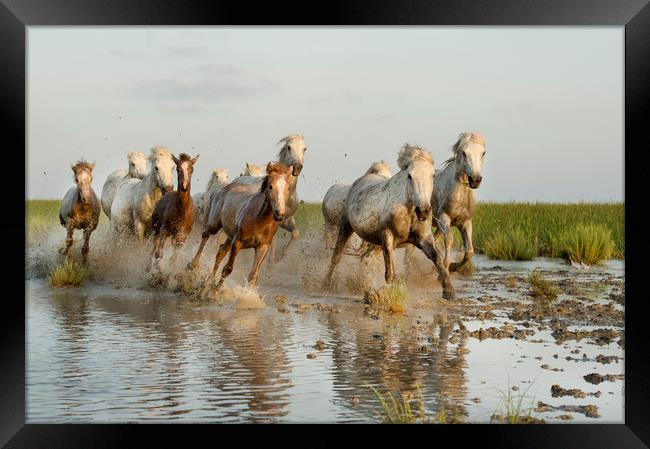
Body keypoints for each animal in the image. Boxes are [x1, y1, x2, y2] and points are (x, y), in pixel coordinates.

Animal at [322, 144, 454, 298]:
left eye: (433, 175)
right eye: (410, 176)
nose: (423, 211)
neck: (408, 212)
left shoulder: (424, 239)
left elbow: (437, 259)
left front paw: (449, 291)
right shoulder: (388, 237)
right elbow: (390, 273)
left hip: (374, 243)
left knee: (365, 259)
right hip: (345, 226)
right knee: (336, 256)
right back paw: (327, 284)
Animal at [402, 133, 484, 272]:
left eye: (483, 153)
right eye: (464, 153)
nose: (475, 180)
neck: (459, 194)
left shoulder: (465, 222)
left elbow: (469, 251)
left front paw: (454, 267)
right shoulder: (444, 218)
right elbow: (449, 240)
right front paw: (447, 265)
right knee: (410, 249)